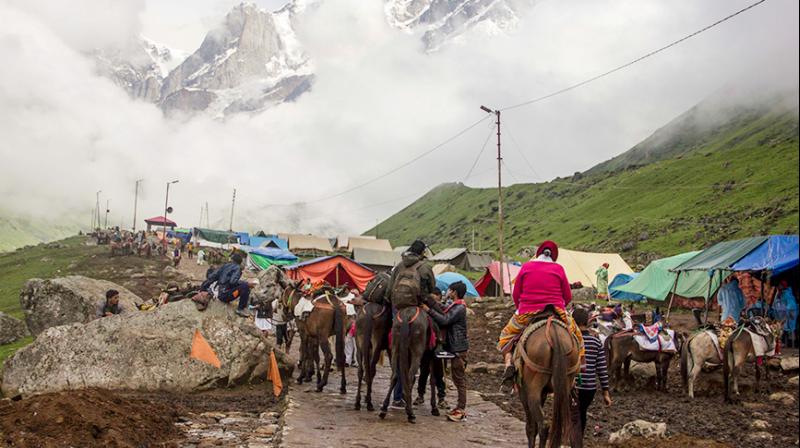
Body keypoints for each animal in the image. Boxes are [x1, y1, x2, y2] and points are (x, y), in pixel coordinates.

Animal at [516, 316, 580, 448]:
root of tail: (554, 334)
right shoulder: (544, 393)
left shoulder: (523, 392)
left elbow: (530, 427)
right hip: (565, 384)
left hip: (533, 388)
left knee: (543, 425)